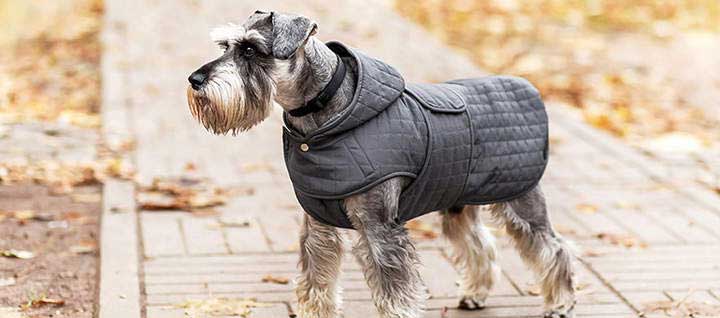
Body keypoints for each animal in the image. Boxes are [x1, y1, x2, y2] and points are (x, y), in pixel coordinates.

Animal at [188, 9, 576, 318]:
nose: (195, 80)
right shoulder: (317, 226)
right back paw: (475, 294)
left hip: (521, 200)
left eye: (250, 49)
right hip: (457, 202)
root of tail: (527, 85)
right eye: (225, 47)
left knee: (553, 248)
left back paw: (560, 303)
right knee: (479, 245)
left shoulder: (380, 229)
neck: (322, 118)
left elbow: (394, 292)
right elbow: (316, 281)